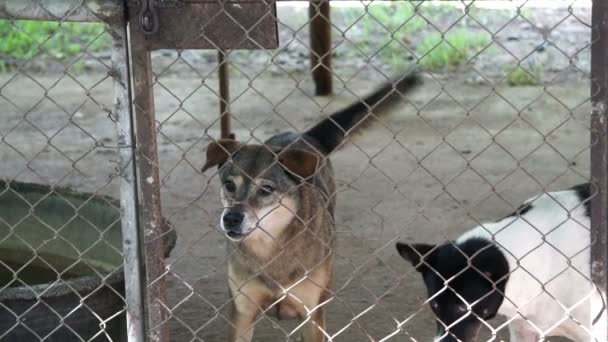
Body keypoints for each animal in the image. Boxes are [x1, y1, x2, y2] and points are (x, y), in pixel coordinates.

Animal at [202, 73, 420, 342]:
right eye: (229, 184)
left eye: (266, 189)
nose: (231, 219)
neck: (270, 248)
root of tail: (302, 136)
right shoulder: (242, 313)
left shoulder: (311, 314)